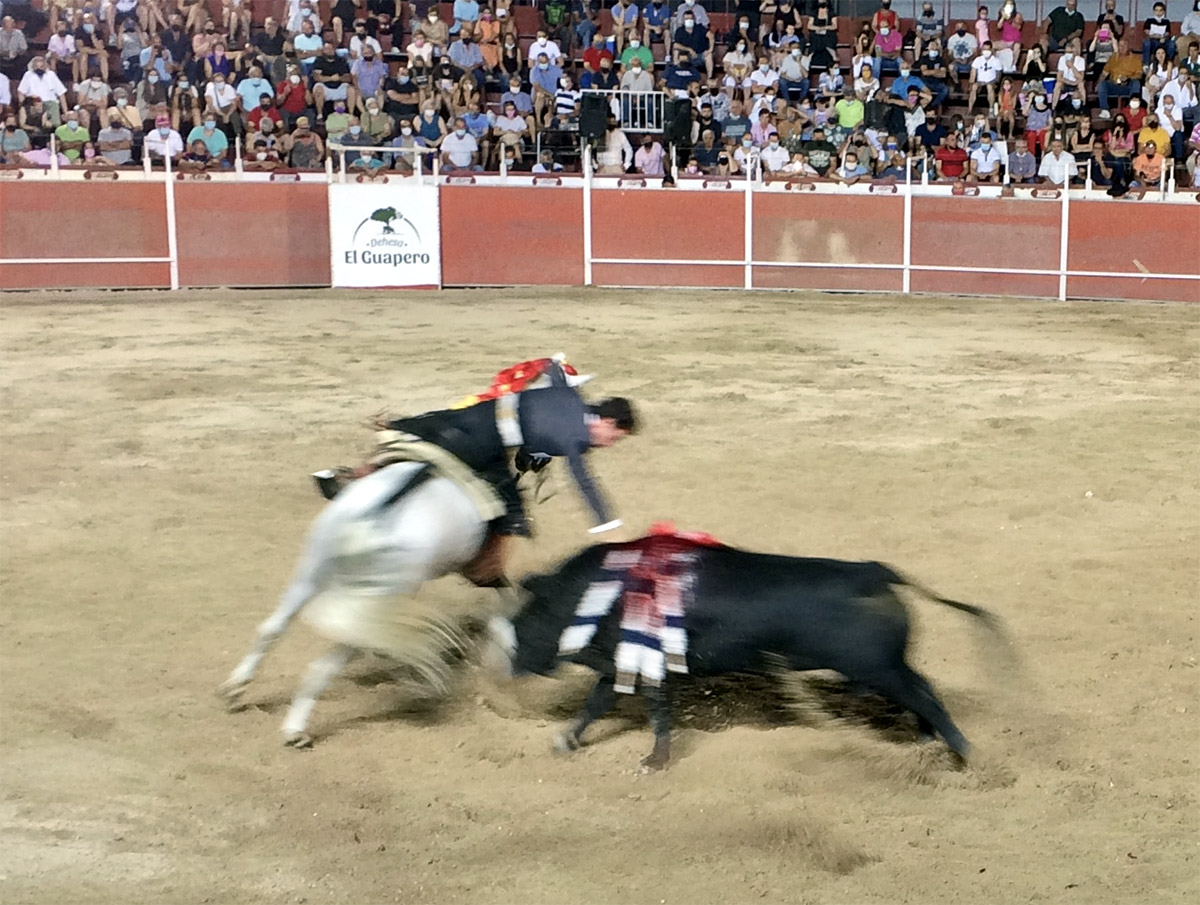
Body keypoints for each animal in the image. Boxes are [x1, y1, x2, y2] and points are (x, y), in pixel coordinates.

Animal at [223, 460, 489, 744]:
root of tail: (369, 518)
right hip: (368, 606)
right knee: (322, 668)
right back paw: (296, 731)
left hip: (309, 576)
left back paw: (236, 690)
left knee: (272, 628)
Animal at [487, 542, 1003, 768]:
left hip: (876, 668)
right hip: (886, 667)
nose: (507, 661)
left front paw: (655, 760)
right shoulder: (622, 666)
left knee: (924, 695)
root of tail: (874, 572)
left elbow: (652, 709)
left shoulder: (642, 665)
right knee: (922, 690)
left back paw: (966, 755)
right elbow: (599, 703)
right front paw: (568, 740)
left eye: (532, 615)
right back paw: (928, 742)